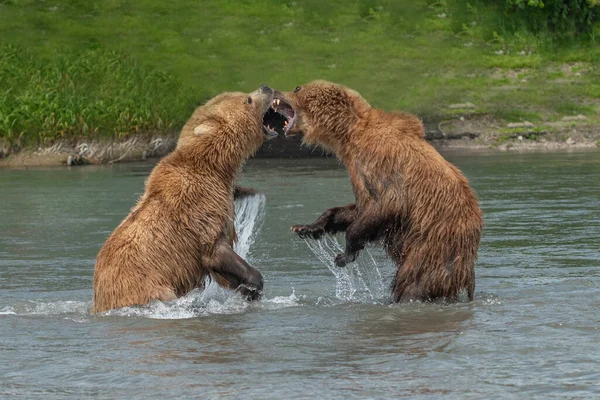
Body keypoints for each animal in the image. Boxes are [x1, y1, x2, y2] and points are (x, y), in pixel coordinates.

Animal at [92, 86, 278, 314]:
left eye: (245, 94)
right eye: (248, 100)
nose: (266, 87)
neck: (215, 167)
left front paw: (247, 290)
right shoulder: (201, 210)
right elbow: (216, 250)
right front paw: (253, 284)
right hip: (146, 288)